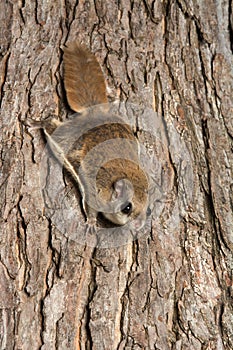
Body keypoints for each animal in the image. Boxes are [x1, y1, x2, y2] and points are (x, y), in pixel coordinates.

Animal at [30, 41, 150, 232]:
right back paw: (37, 123)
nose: (139, 225)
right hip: (66, 136)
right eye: (127, 208)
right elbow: (91, 207)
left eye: (148, 209)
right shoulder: (95, 193)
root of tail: (95, 113)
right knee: (51, 124)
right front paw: (92, 223)